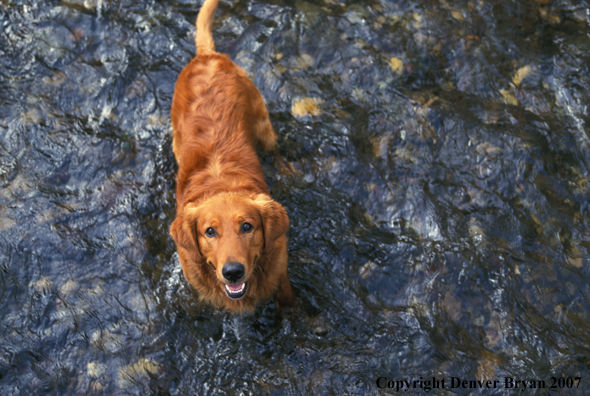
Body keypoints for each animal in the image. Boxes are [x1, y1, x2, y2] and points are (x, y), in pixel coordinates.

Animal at [170, 0, 292, 312]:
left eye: (247, 227)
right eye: (210, 232)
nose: (233, 272)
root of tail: (207, 56)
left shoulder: (280, 270)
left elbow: (288, 301)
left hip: (263, 126)